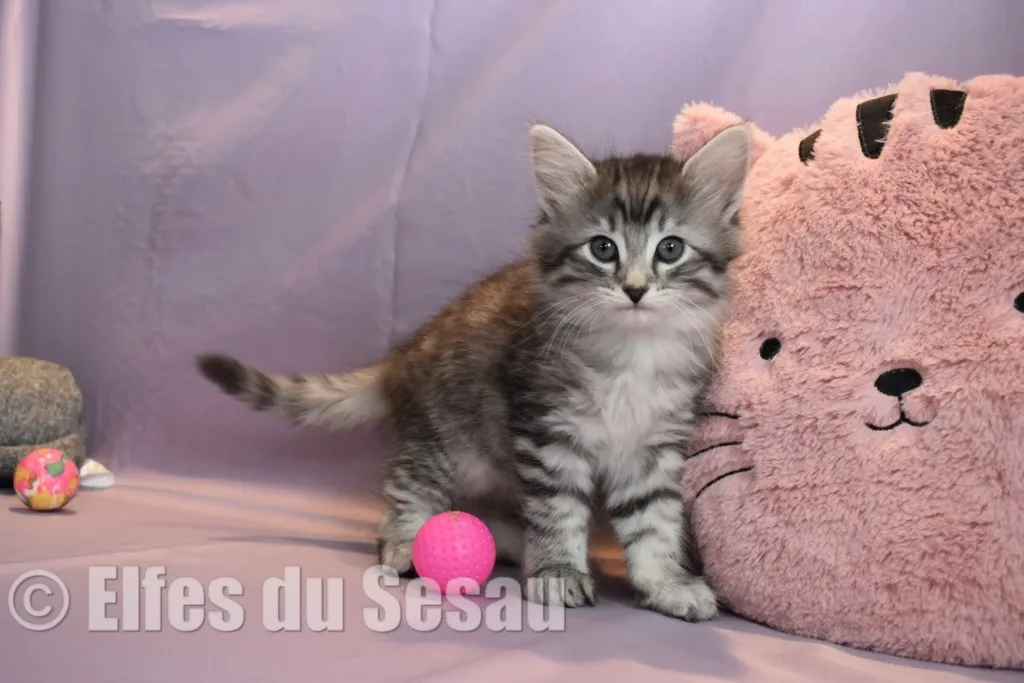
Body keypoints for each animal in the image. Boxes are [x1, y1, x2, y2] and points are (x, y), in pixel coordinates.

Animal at [196, 122, 752, 621]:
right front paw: (556, 572)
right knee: (409, 484)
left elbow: (654, 522)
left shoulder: (652, 448)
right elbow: (557, 509)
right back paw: (404, 543)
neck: (634, 352)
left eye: (670, 248)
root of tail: (405, 352)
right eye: (603, 248)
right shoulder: (546, 430)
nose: (635, 289)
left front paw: (665, 585)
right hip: (449, 439)